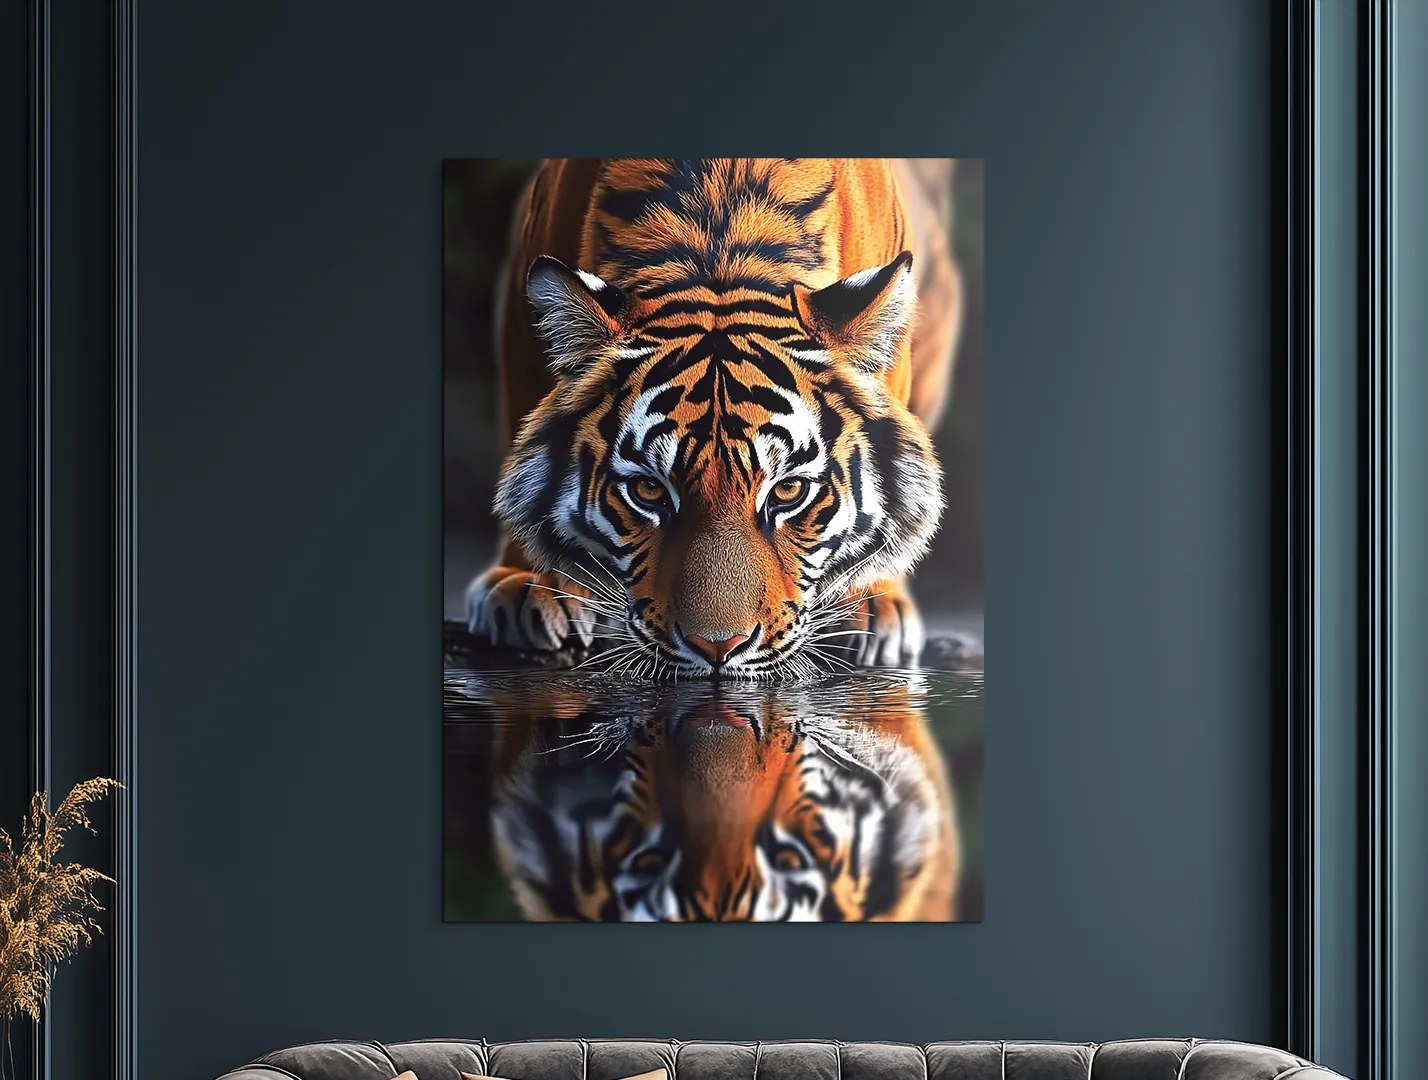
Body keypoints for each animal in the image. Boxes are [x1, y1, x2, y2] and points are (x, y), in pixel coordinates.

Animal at [466, 158, 963, 676]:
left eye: (789, 491)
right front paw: (531, 585)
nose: (718, 648)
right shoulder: (522, 322)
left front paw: (869, 601)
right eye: (647, 490)